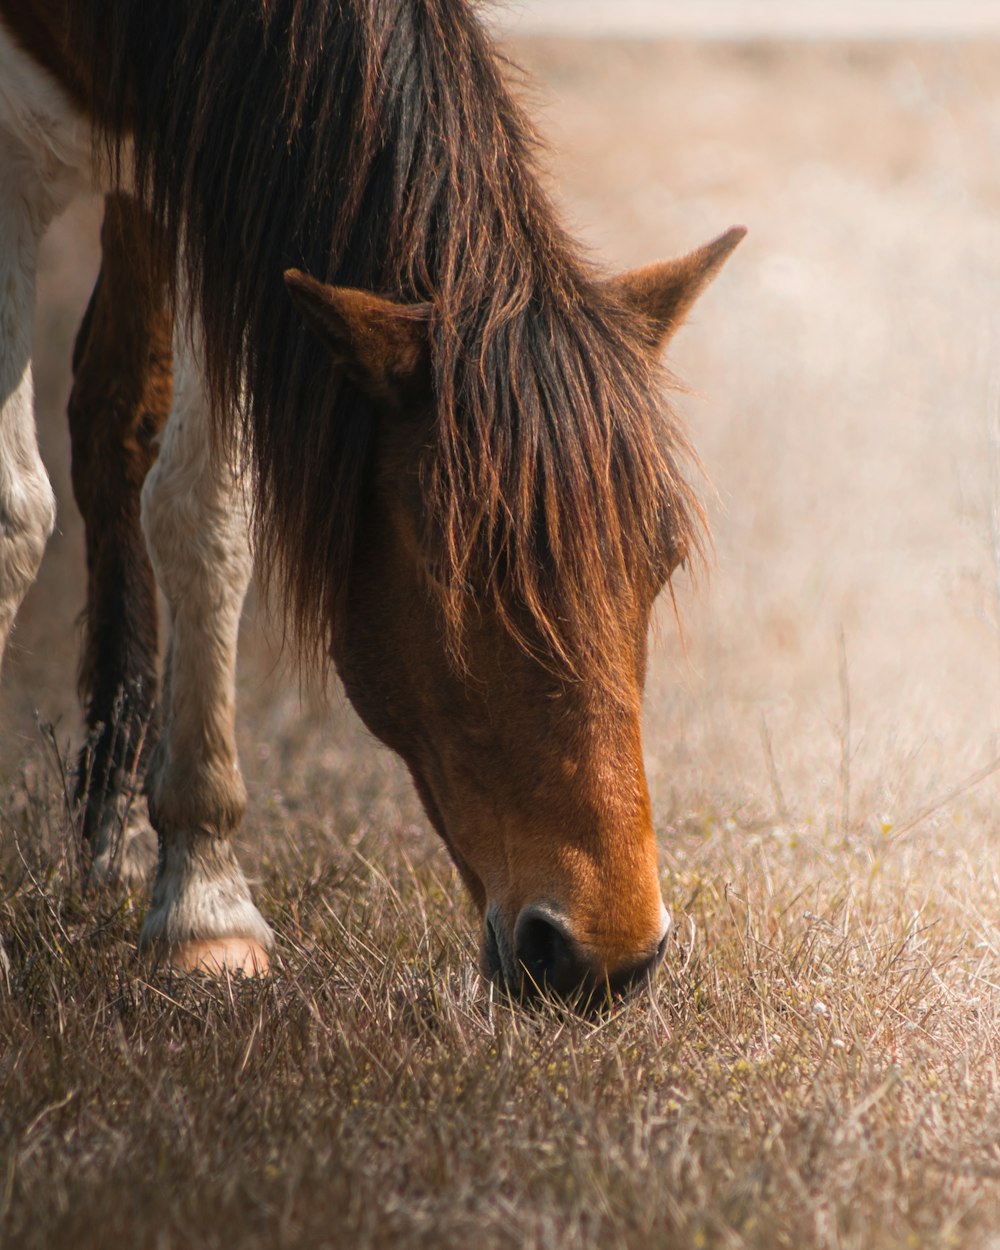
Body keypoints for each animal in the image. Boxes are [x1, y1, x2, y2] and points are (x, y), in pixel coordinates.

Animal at [0, 0, 740, 1000]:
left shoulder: (208, 177)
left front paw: (202, 904)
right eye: (457, 579)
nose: (605, 957)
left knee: (116, 418)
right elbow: (17, 515)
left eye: (662, 563)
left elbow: (204, 512)